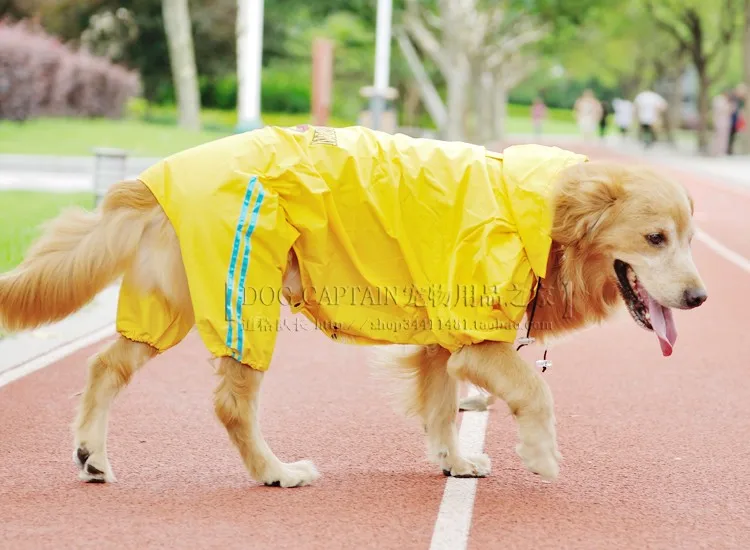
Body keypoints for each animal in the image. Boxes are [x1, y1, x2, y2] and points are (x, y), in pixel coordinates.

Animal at [0, 128, 704, 488]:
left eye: (689, 238)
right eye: (655, 238)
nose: (699, 298)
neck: (540, 213)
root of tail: (156, 175)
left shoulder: (442, 342)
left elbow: (441, 408)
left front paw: (454, 461)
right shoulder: (477, 339)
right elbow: (534, 389)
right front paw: (540, 454)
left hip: (166, 303)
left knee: (105, 367)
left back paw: (91, 454)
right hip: (245, 298)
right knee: (231, 404)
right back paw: (275, 471)